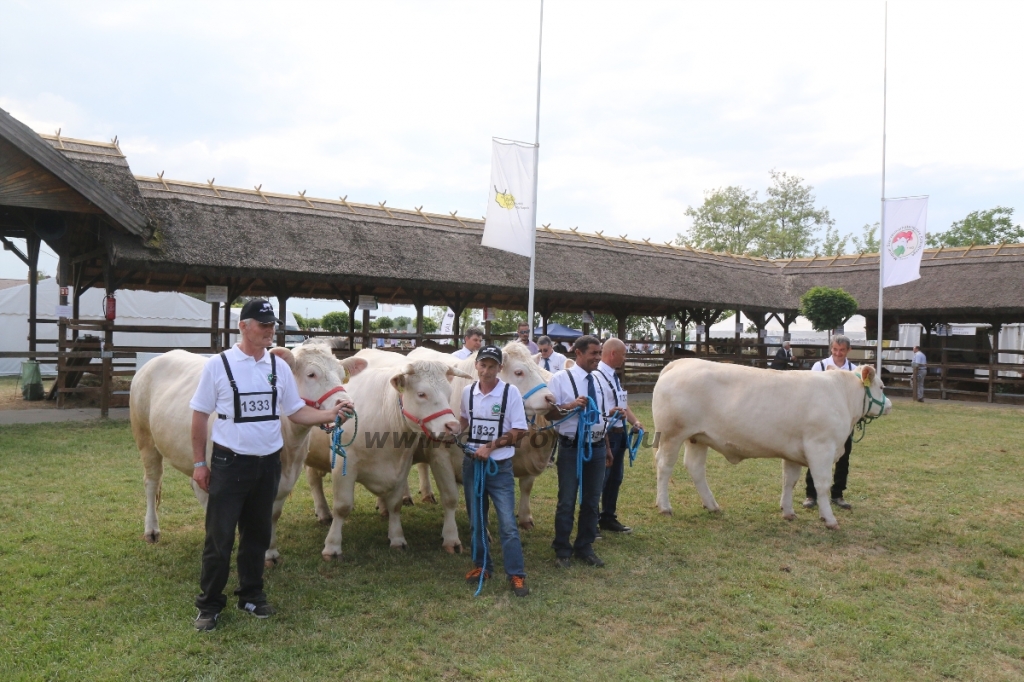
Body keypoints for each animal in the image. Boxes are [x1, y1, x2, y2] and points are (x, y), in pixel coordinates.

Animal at [313, 356, 473, 557]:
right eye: (421, 394)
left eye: (449, 393)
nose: (452, 426)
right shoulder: (344, 463)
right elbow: (342, 506)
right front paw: (332, 546)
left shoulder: (401, 466)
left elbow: (395, 504)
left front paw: (397, 538)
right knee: (314, 481)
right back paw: (323, 513)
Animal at [655, 358, 888, 528]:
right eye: (882, 386)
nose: (889, 405)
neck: (842, 395)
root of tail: (680, 363)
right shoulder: (821, 447)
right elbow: (822, 484)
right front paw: (829, 519)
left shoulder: (794, 452)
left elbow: (789, 481)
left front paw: (788, 511)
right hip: (671, 435)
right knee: (664, 467)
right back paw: (665, 507)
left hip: (697, 438)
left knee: (695, 468)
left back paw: (712, 505)